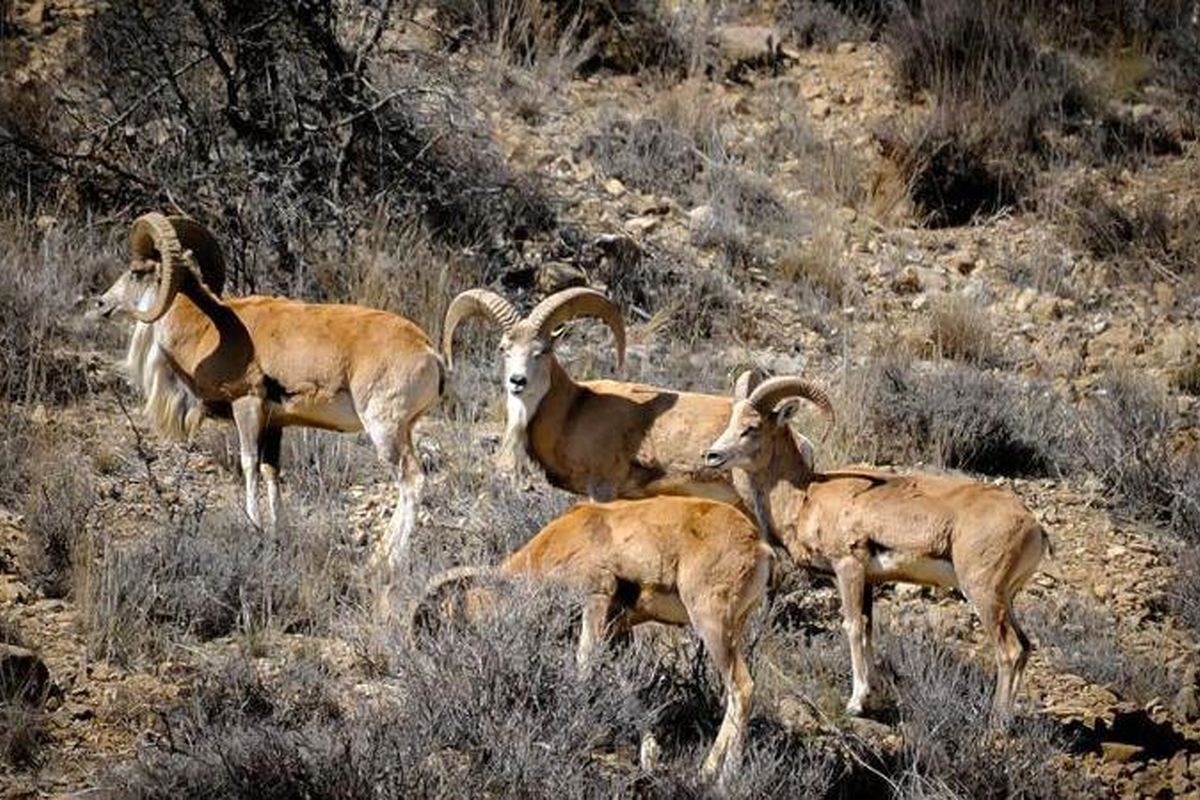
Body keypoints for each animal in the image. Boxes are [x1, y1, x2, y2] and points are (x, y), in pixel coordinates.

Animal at [87, 209, 446, 566]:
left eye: (136, 272)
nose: (102, 304)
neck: (207, 328)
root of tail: (428, 351)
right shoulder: (275, 424)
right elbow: (272, 472)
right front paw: (278, 534)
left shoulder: (247, 406)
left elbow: (248, 465)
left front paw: (254, 526)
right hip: (403, 430)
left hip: (385, 429)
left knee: (412, 481)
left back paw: (388, 560)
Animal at [410, 496, 768, 786]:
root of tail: (758, 545)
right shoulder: (615, 632)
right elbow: (627, 688)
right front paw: (649, 757)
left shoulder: (595, 600)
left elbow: (583, 667)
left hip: (712, 624)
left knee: (742, 687)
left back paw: (719, 776)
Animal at [700, 376, 1051, 719]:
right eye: (731, 421)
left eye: (751, 427)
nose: (712, 456)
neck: (806, 496)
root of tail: (1033, 526)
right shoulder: (868, 581)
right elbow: (868, 631)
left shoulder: (848, 569)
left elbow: (853, 627)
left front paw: (856, 703)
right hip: (1005, 597)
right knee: (1025, 647)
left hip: (983, 592)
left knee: (1009, 650)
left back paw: (997, 721)